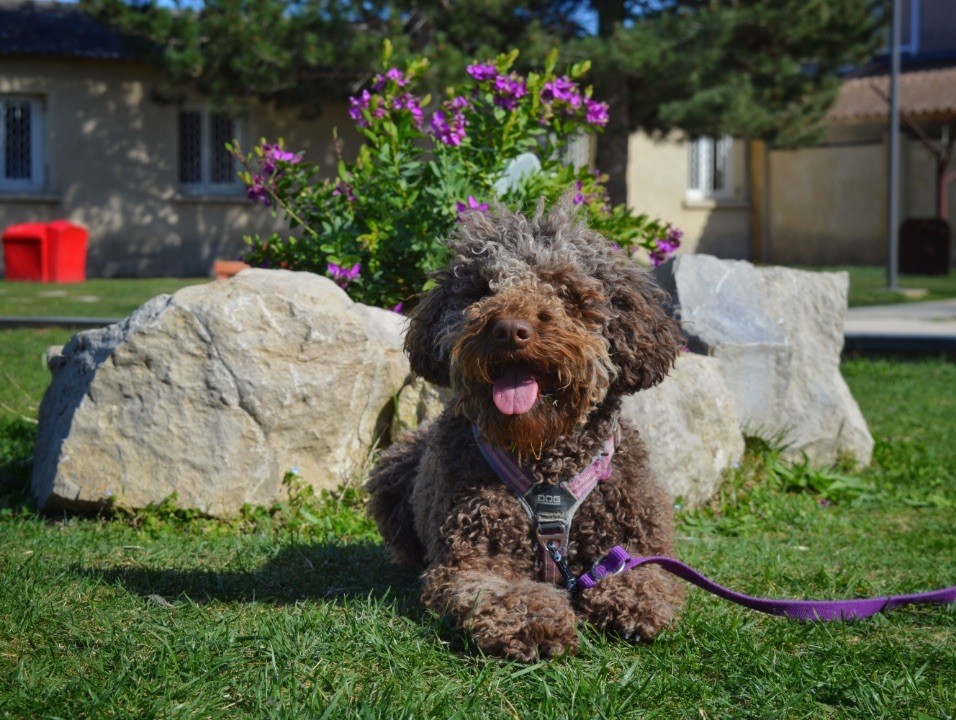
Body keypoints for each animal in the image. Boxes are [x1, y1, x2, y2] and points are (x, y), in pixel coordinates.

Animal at [366, 194, 688, 660]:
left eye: (566, 290)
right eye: (482, 289)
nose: (508, 329)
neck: (544, 457)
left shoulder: (637, 545)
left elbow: (648, 578)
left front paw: (632, 601)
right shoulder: (474, 558)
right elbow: (502, 592)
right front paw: (535, 621)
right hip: (391, 470)